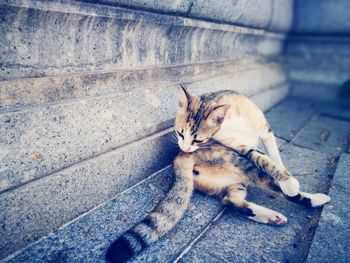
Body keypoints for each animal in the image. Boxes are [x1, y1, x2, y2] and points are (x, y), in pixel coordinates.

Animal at [104, 87, 330, 262]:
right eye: (180, 133)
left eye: (198, 140)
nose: (186, 147)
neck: (232, 120)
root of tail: (179, 157)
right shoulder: (241, 148)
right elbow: (262, 158)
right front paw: (288, 182)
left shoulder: (265, 130)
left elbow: (273, 153)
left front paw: (285, 173)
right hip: (239, 163)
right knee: (257, 187)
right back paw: (314, 199)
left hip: (235, 181)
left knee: (230, 200)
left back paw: (272, 216)